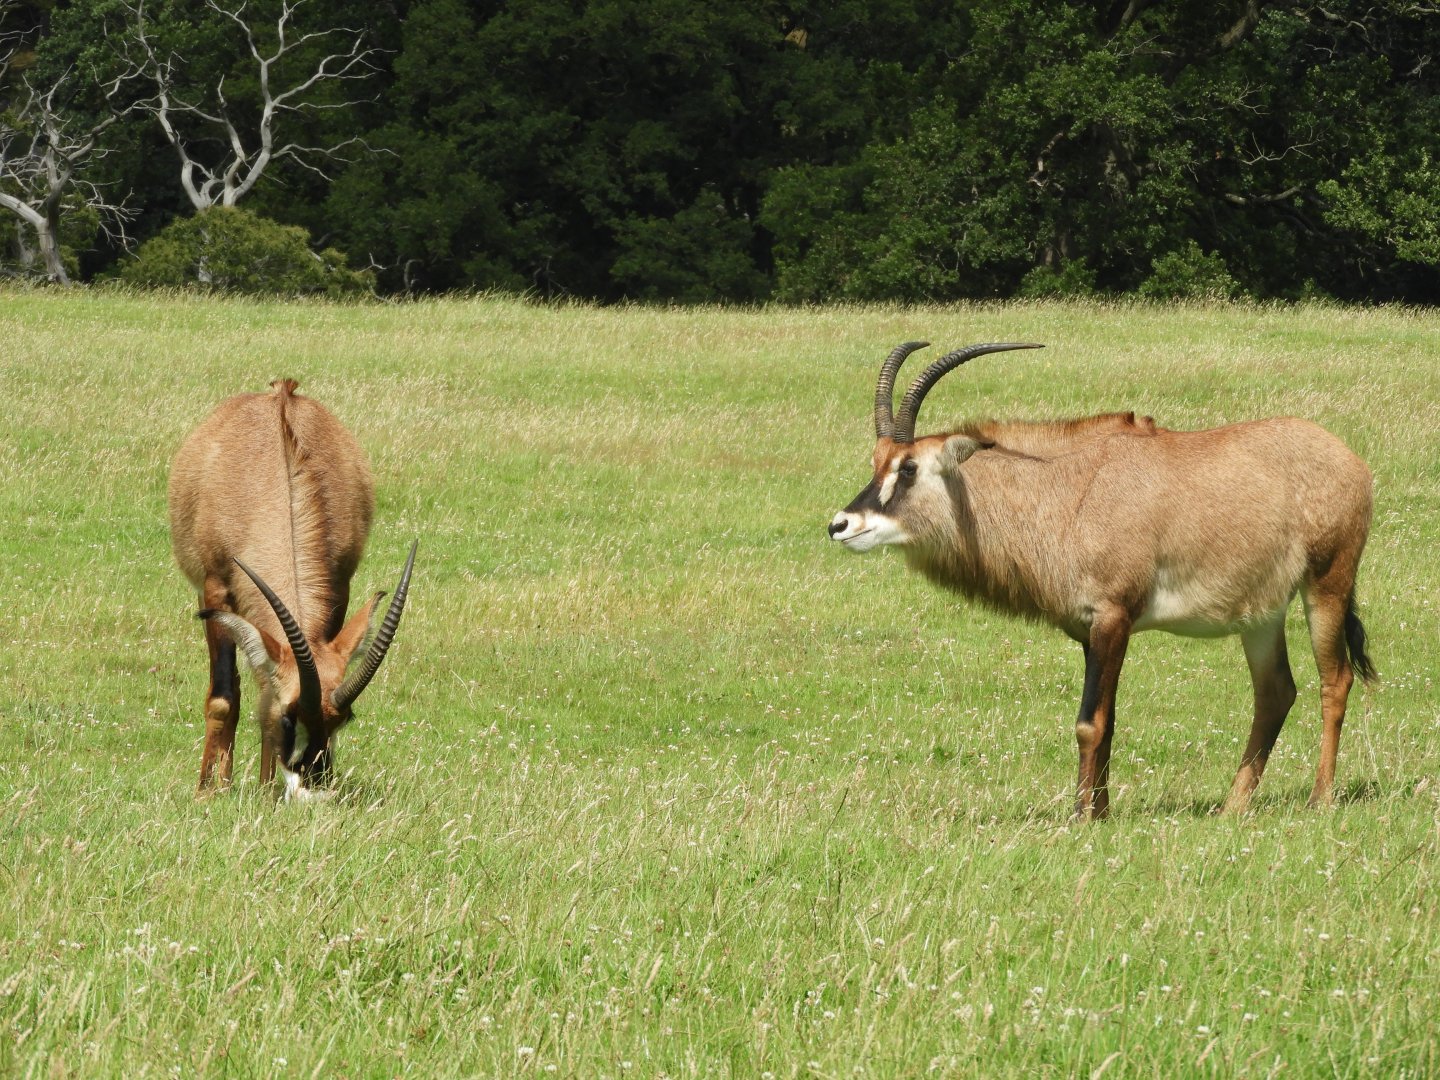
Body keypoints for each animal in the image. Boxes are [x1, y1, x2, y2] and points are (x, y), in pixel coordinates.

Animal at [169, 379, 416, 799]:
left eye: (344, 719)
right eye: (290, 717)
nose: (314, 783)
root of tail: (280, 391)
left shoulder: (338, 590)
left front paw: (267, 789)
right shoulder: (215, 590)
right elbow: (223, 698)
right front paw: (209, 791)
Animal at [829, 342, 1375, 819]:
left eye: (909, 468)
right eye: (876, 460)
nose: (841, 525)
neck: (1069, 491)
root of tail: (1349, 459)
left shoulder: (1113, 617)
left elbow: (1088, 724)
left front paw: (1080, 819)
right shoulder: (1089, 631)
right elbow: (1107, 721)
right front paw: (1103, 813)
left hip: (1327, 584)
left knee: (1335, 681)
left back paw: (1320, 799)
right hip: (1262, 615)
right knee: (1275, 692)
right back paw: (1232, 808)